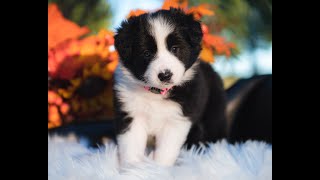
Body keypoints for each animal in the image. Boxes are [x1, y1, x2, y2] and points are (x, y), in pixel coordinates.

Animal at [114, 8, 226, 166]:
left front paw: (157, 168)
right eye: (146, 53)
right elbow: (132, 148)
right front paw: (134, 169)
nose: (165, 75)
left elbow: (165, 151)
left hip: (214, 113)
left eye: (175, 48)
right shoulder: (131, 115)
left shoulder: (176, 120)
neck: (155, 93)